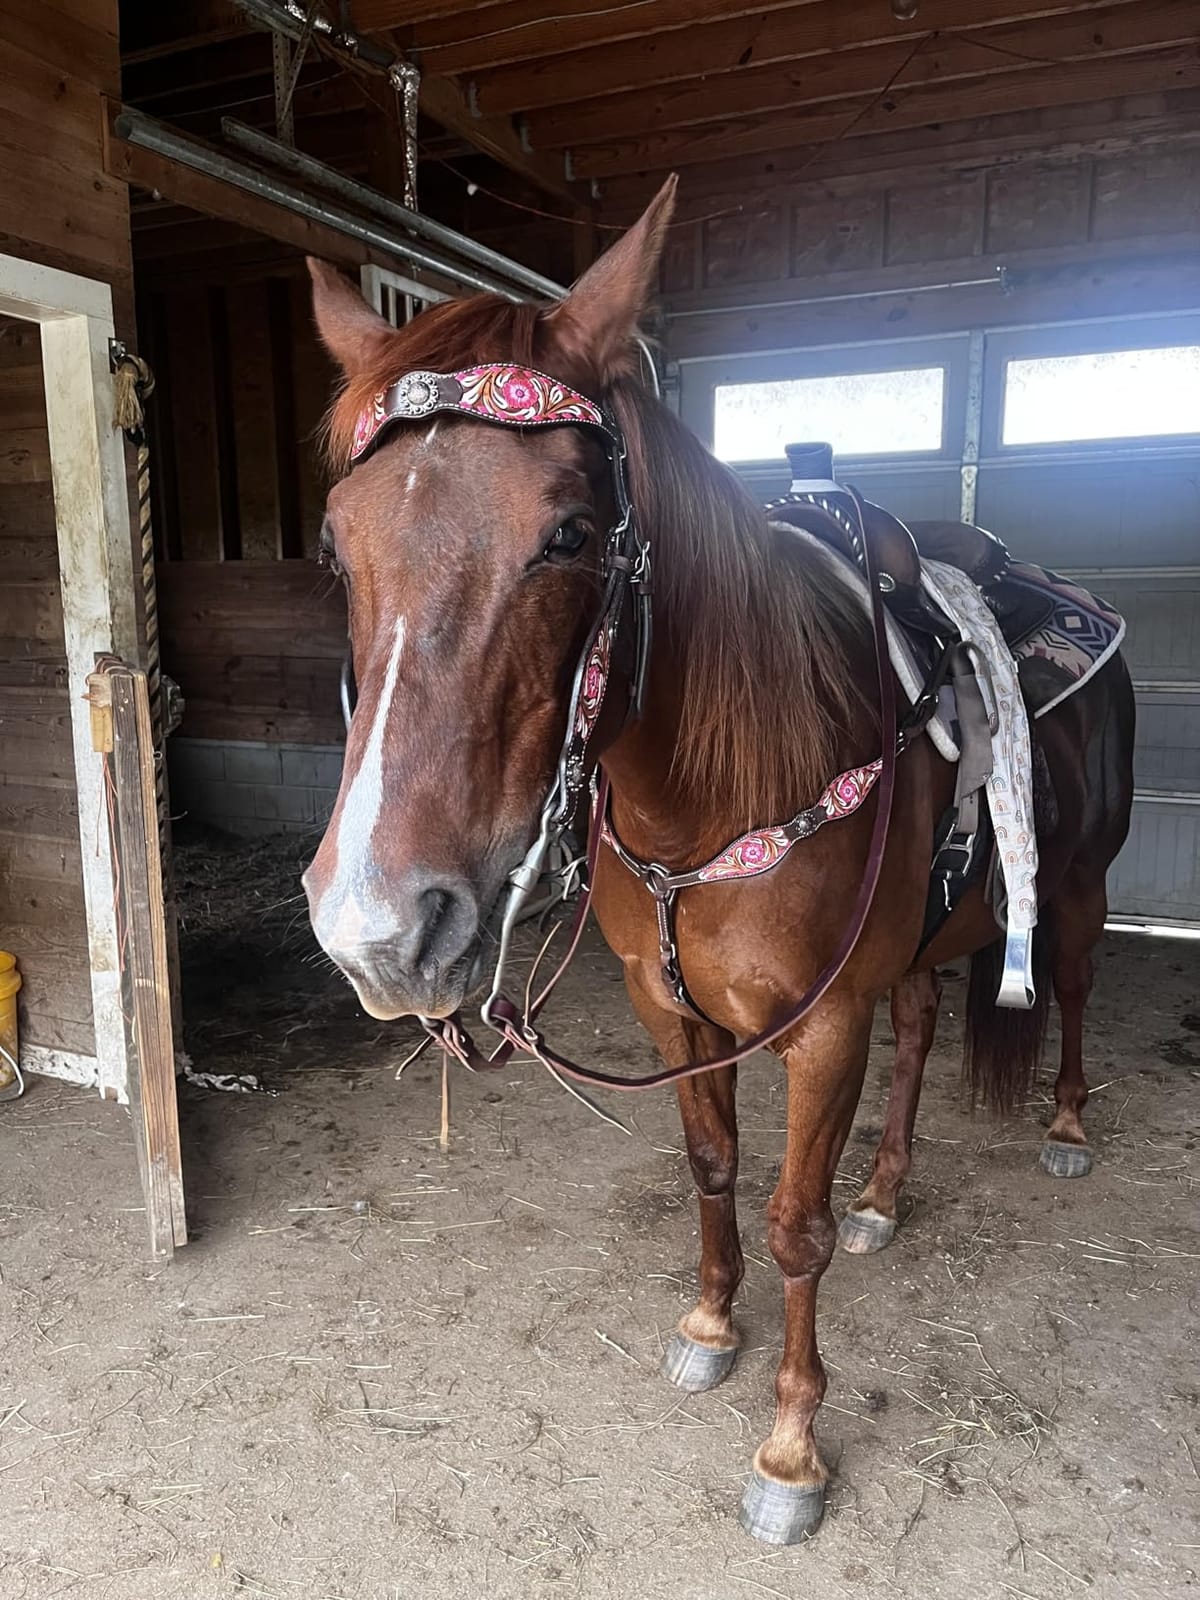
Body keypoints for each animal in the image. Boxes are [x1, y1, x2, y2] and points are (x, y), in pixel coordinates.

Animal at [301, 176, 1136, 1545]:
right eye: (333, 542)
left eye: (571, 533)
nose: (379, 926)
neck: (714, 795)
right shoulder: (672, 1010)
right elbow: (710, 1164)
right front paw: (707, 1321)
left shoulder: (821, 1027)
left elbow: (794, 1224)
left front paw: (791, 1449)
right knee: (923, 1027)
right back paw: (888, 1193)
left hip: (1075, 886)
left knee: (1066, 984)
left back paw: (1064, 1124)